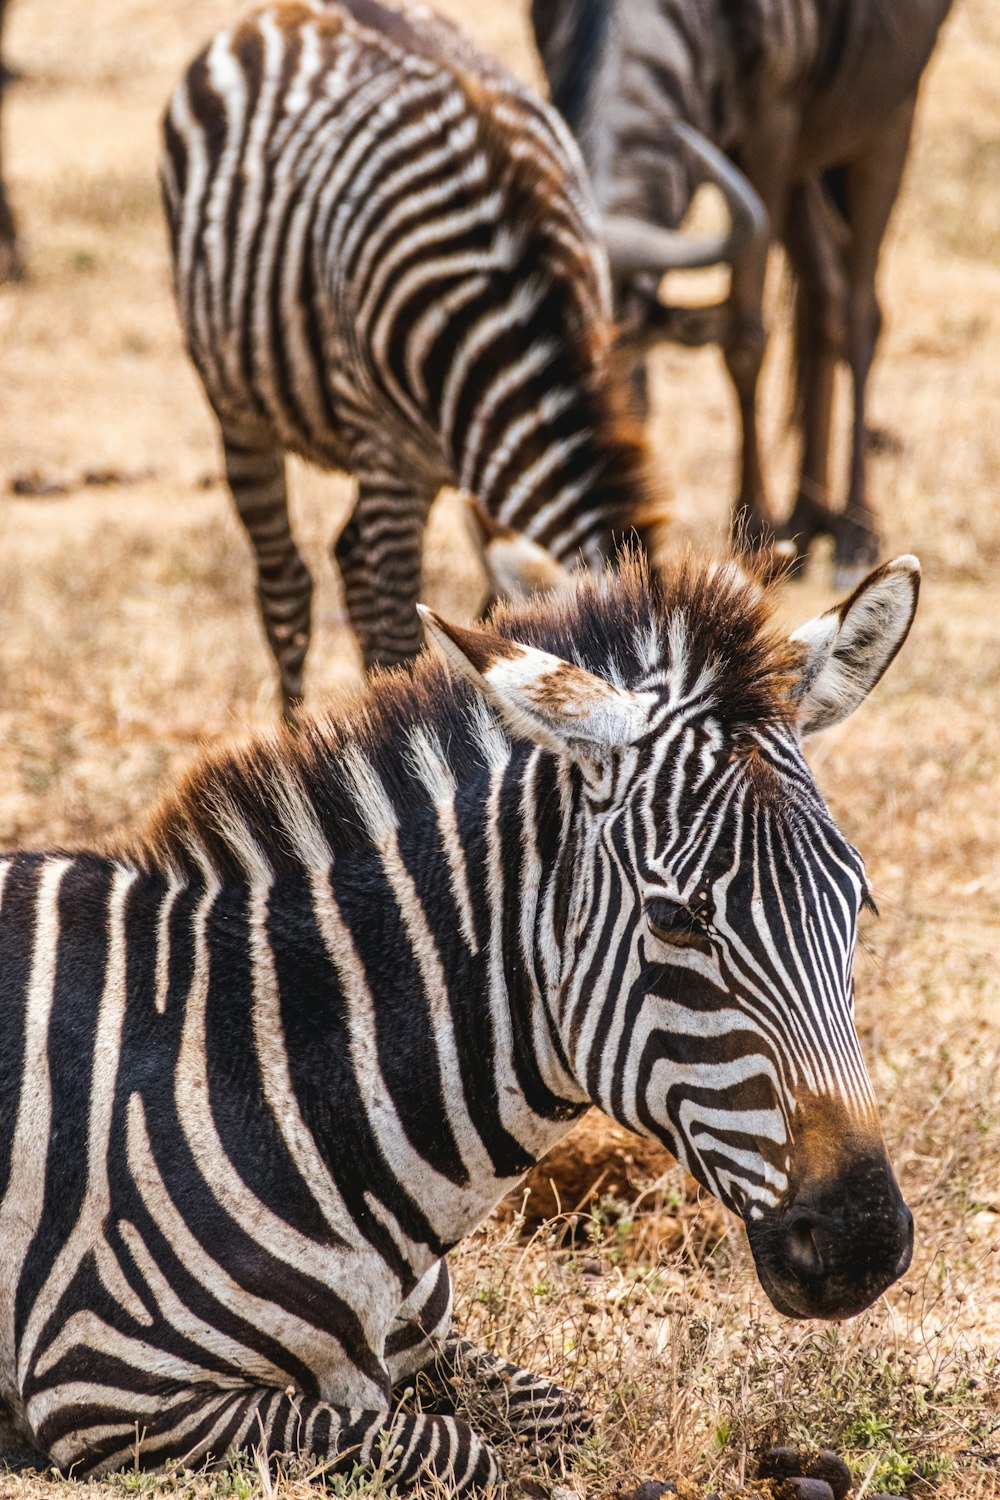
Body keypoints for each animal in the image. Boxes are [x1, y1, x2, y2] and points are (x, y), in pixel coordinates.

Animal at [1, 549, 923, 1476]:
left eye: (860, 904)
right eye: (674, 919)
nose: (866, 1242)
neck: (275, 1076)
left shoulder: (422, 1343)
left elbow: (568, 1417)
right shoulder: (106, 1390)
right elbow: (461, 1450)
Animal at [164, 0, 695, 717]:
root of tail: (280, 12)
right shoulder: (388, 454)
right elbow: (401, 636)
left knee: (349, 559)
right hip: (242, 405)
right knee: (286, 584)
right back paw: (296, 723)